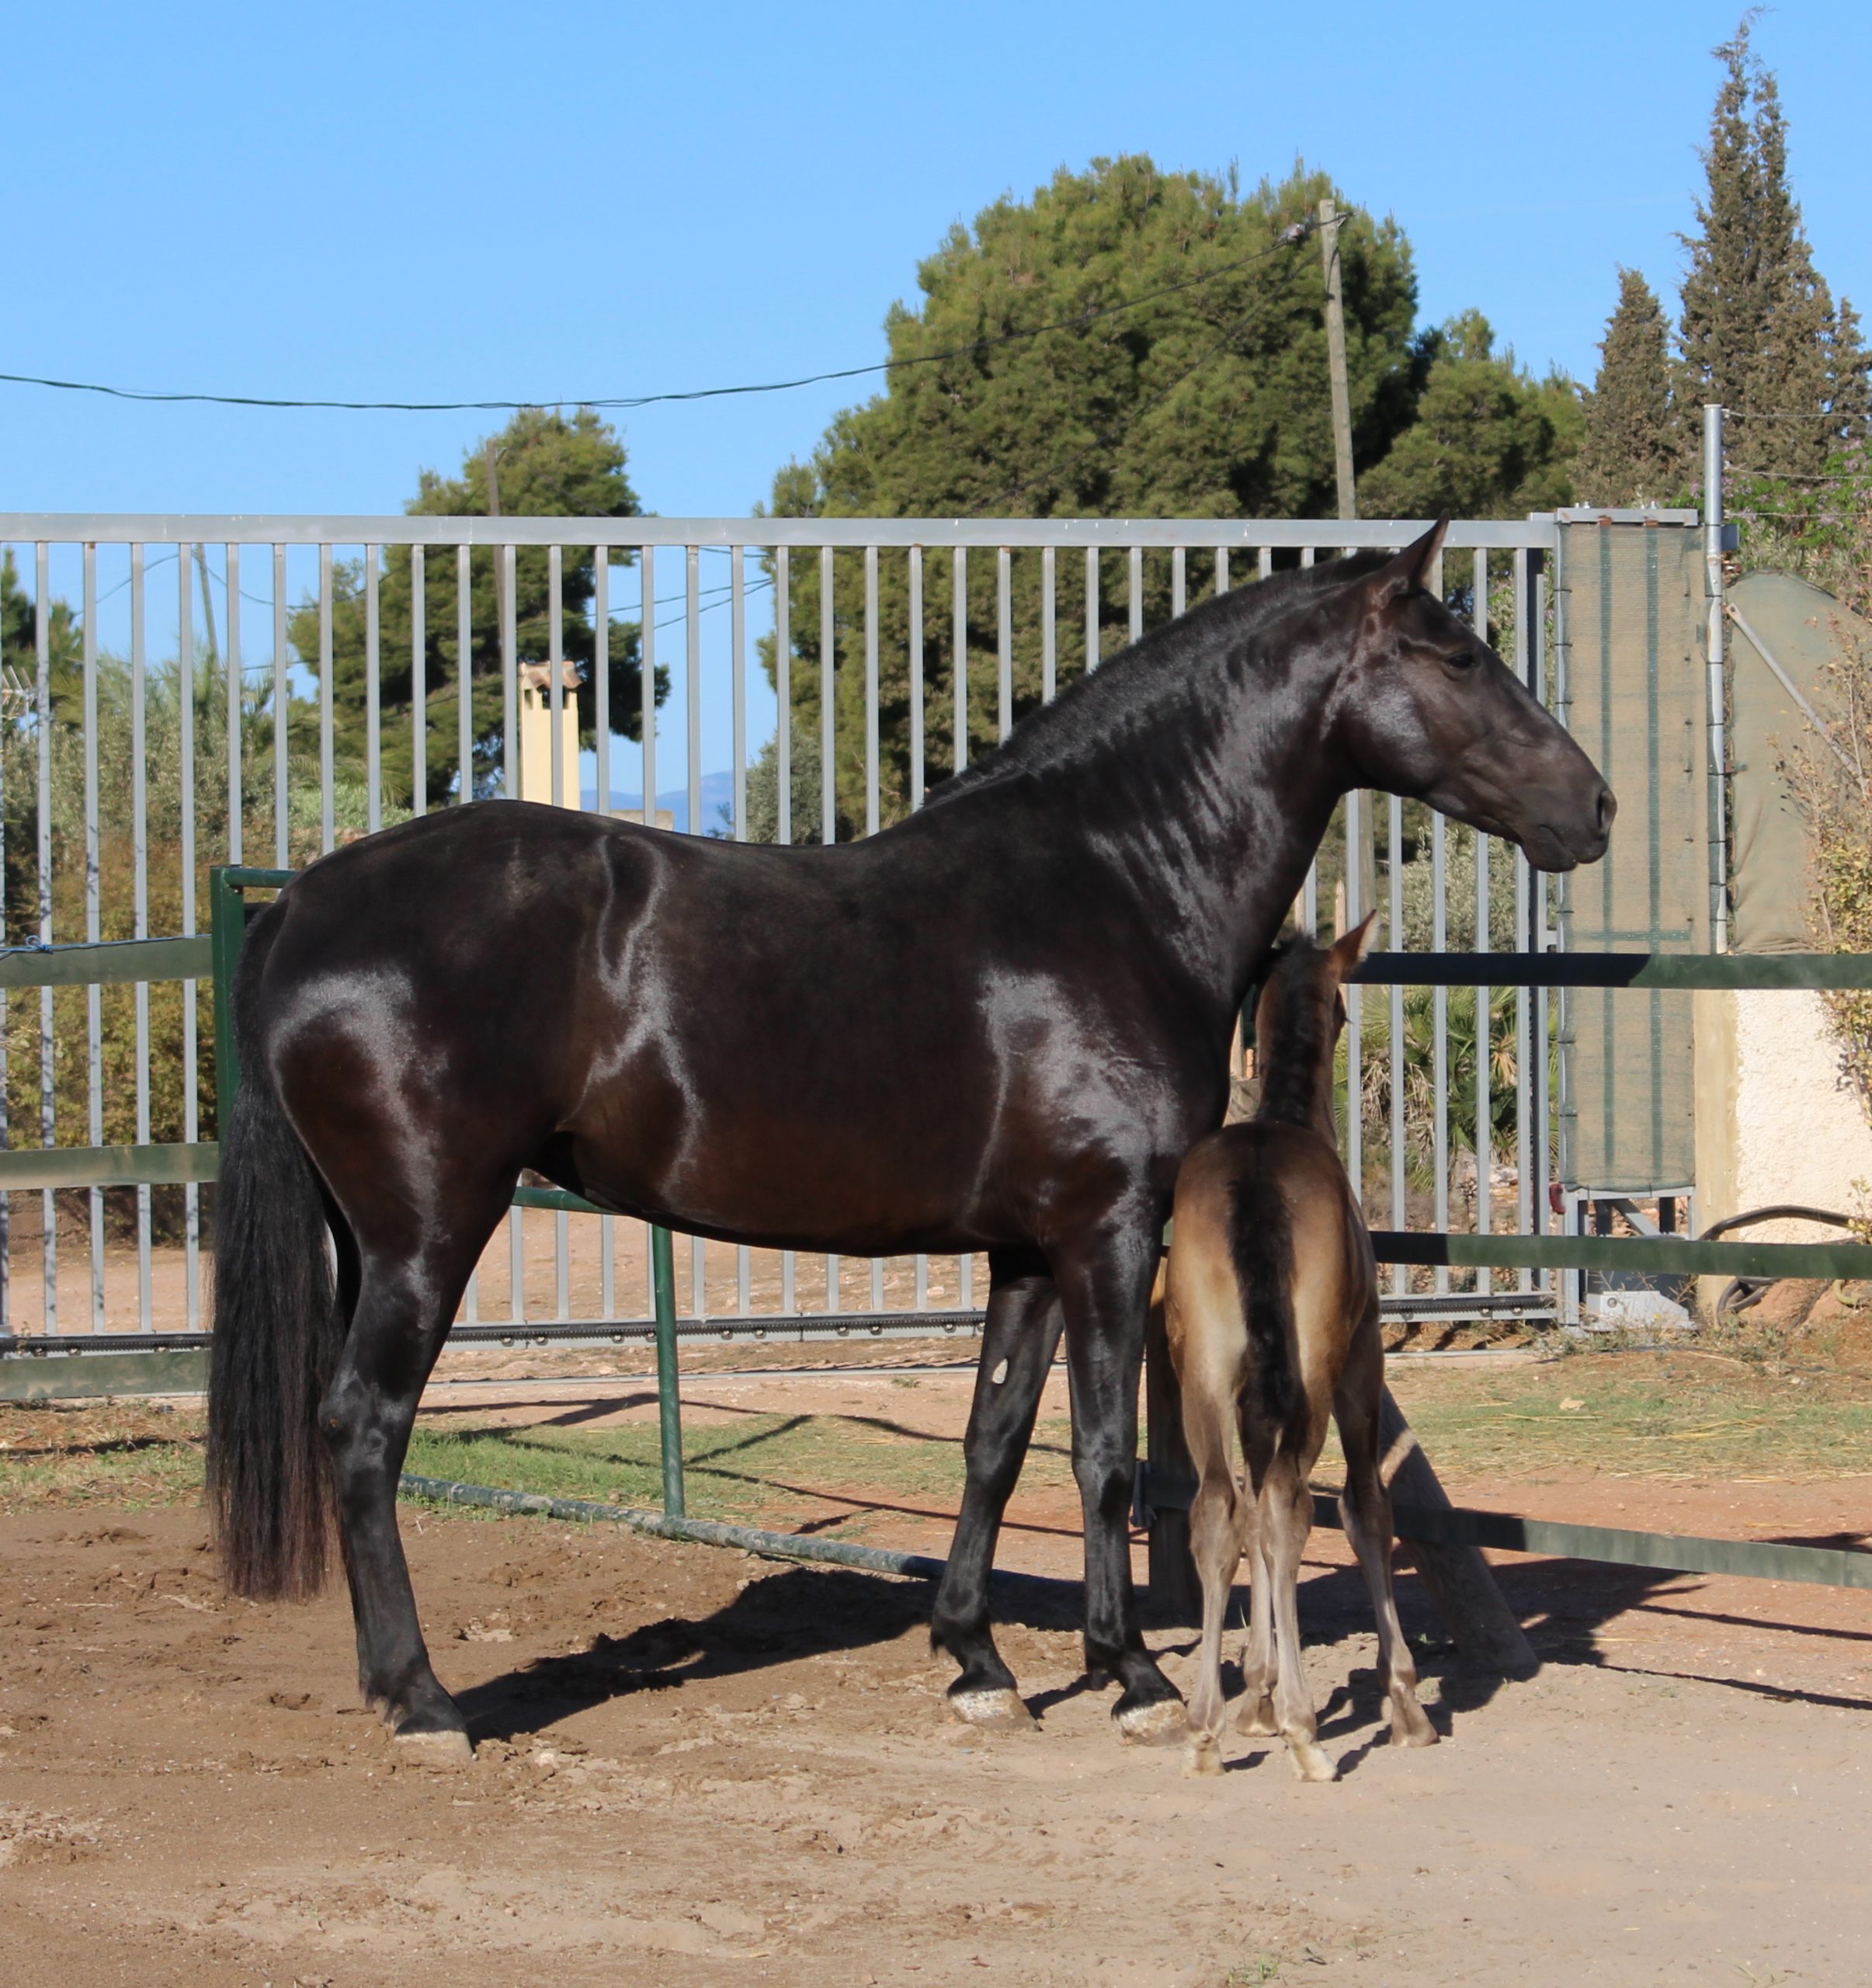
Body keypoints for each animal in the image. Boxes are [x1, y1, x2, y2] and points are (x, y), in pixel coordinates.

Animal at [1163, 914, 1436, 1782]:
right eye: (1345, 1006)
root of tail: (1254, 1185)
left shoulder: (1252, 1390)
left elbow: (1248, 1517)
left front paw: (1250, 1687)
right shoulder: (1359, 1365)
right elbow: (1364, 1507)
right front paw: (1403, 1700)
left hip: (1201, 1374)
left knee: (1220, 1508)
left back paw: (1205, 1726)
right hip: (1315, 1375)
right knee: (1291, 1500)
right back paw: (1304, 1728)